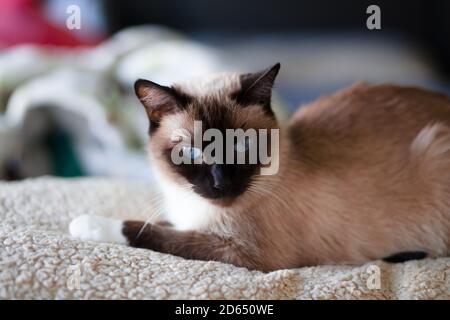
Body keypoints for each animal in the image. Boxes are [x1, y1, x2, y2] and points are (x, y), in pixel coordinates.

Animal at [69, 63, 450, 272]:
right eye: (191, 151)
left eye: (241, 146)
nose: (220, 183)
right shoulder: (189, 221)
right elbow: (162, 225)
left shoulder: (242, 253)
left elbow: (153, 234)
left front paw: (85, 224)